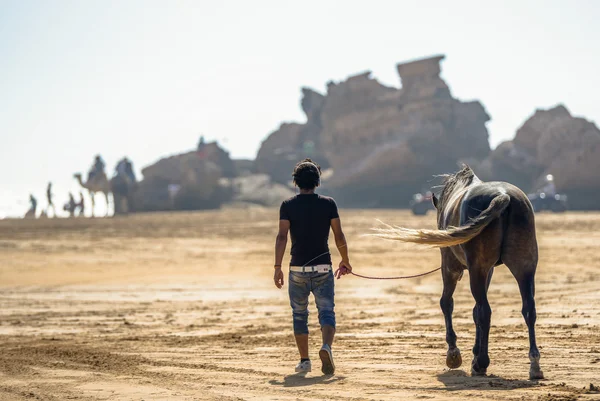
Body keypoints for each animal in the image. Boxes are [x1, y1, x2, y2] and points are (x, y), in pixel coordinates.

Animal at [376, 165, 544, 378]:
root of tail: (503, 196)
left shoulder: (450, 267)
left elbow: (447, 303)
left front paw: (454, 353)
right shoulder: (487, 271)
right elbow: (473, 311)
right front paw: (474, 353)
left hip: (477, 269)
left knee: (485, 311)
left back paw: (482, 362)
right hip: (524, 268)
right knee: (528, 309)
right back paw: (534, 364)